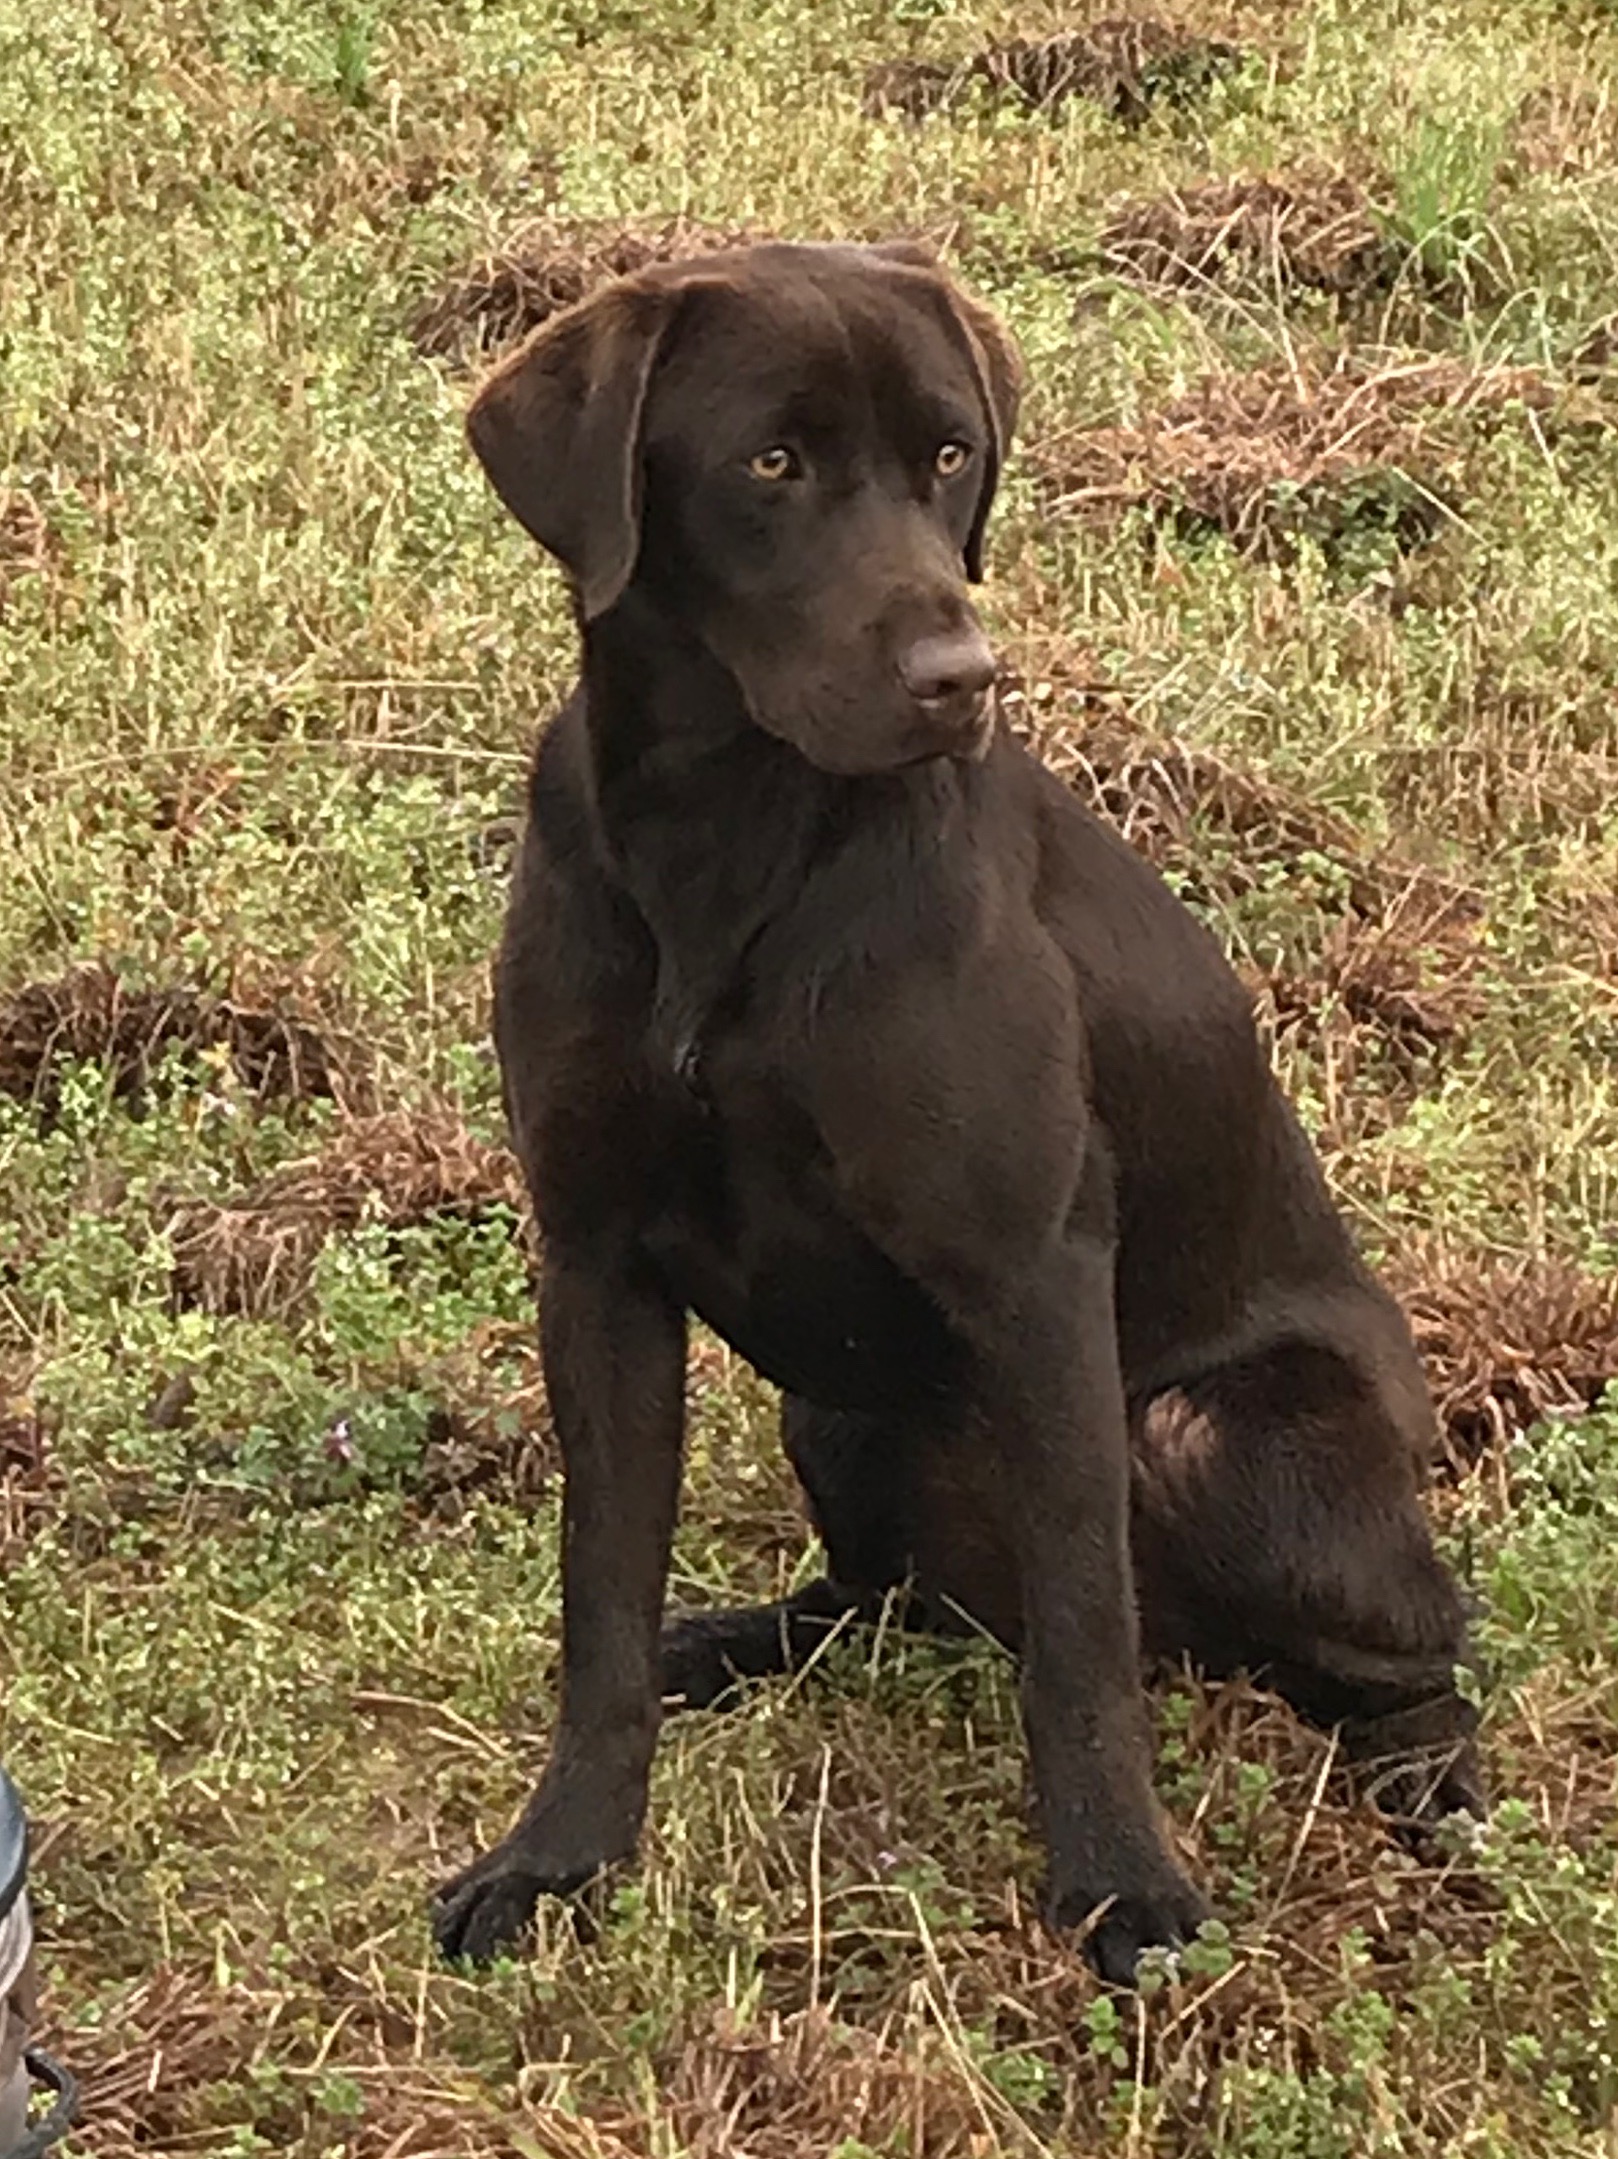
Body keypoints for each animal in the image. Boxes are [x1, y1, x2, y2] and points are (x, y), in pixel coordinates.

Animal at [436, 245, 1486, 1977]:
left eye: (947, 455)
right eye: (770, 464)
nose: (961, 682)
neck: (734, 840)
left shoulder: (1034, 1271)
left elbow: (1080, 1635)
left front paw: (1122, 1882)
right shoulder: (592, 1262)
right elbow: (600, 1608)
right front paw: (560, 1854)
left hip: (1205, 1432)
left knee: (1410, 1656)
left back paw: (1432, 1797)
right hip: (836, 1407)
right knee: (882, 1600)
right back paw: (726, 1642)